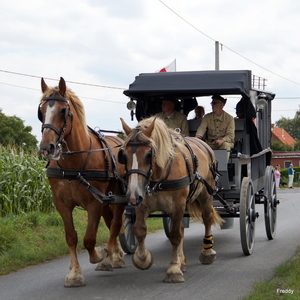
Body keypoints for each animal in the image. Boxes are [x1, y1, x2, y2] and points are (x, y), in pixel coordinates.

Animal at [38, 77, 125, 286]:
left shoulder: (94, 203)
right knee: (111, 223)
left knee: (116, 224)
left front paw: (101, 254)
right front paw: (75, 273)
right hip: (107, 201)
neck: (74, 165)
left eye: (63, 110)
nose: (46, 147)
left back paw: (112, 254)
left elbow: (89, 239)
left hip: (119, 197)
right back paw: (115, 256)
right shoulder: (62, 204)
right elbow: (71, 237)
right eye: (41, 112)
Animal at [119, 117, 223, 284]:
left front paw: (174, 269)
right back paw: (183, 261)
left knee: (207, 219)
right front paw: (143, 258)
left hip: (205, 195)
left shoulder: (177, 206)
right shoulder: (142, 205)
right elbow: (139, 230)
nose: (132, 196)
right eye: (124, 155)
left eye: (149, 154)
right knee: (181, 228)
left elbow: (175, 236)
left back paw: (207, 252)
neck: (158, 177)